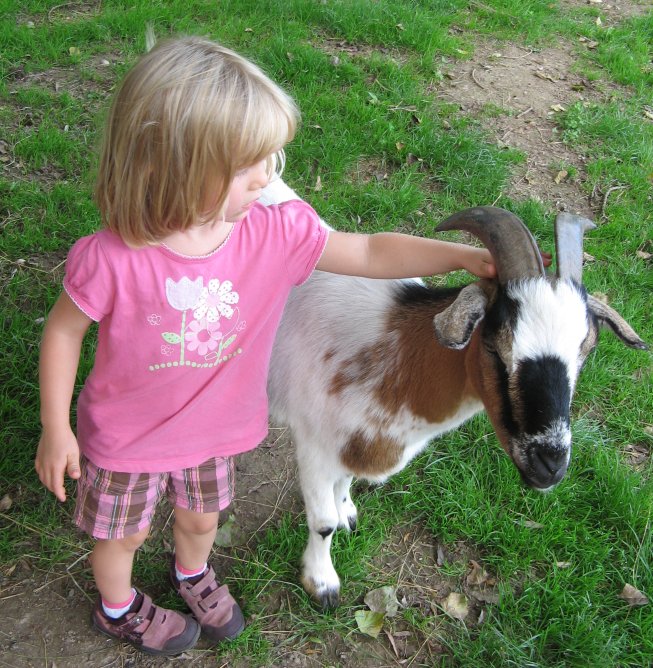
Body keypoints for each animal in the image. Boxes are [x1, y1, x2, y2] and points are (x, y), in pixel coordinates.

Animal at [258, 177, 644, 612]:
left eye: (586, 351)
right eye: (493, 347)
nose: (550, 465)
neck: (393, 353)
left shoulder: (349, 442)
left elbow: (347, 483)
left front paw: (347, 513)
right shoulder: (314, 445)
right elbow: (322, 524)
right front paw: (322, 583)